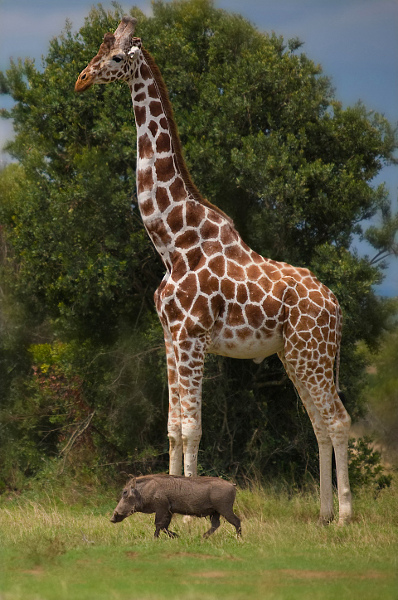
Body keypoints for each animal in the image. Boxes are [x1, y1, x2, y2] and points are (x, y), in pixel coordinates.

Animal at [76, 17, 352, 524]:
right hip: (295, 355)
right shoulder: (170, 337)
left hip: (313, 352)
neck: (173, 242)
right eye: (97, 51)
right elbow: (171, 426)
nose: (81, 79)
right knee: (320, 423)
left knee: (338, 420)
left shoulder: (193, 339)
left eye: (117, 57)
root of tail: (337, 306)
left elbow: (192, 428)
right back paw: (323, 515)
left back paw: (344, 516)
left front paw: (187, 506)